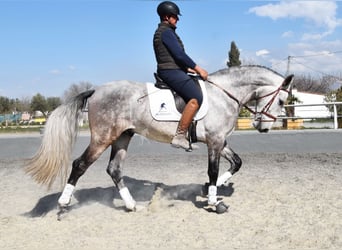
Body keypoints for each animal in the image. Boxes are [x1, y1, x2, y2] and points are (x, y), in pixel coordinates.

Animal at [26, 65, 294, 216]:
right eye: (282, 100)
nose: (263, 127)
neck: (223, 95)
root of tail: (96, 90)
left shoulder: (218, 141)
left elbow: (236, 163)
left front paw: (208, 189)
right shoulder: (215, 141)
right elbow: (213, 170)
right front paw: (213, 201)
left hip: (122, 137)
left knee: (114, 169)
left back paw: (131, 205)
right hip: (103, 137)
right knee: (80, 165)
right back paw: (63, 203)